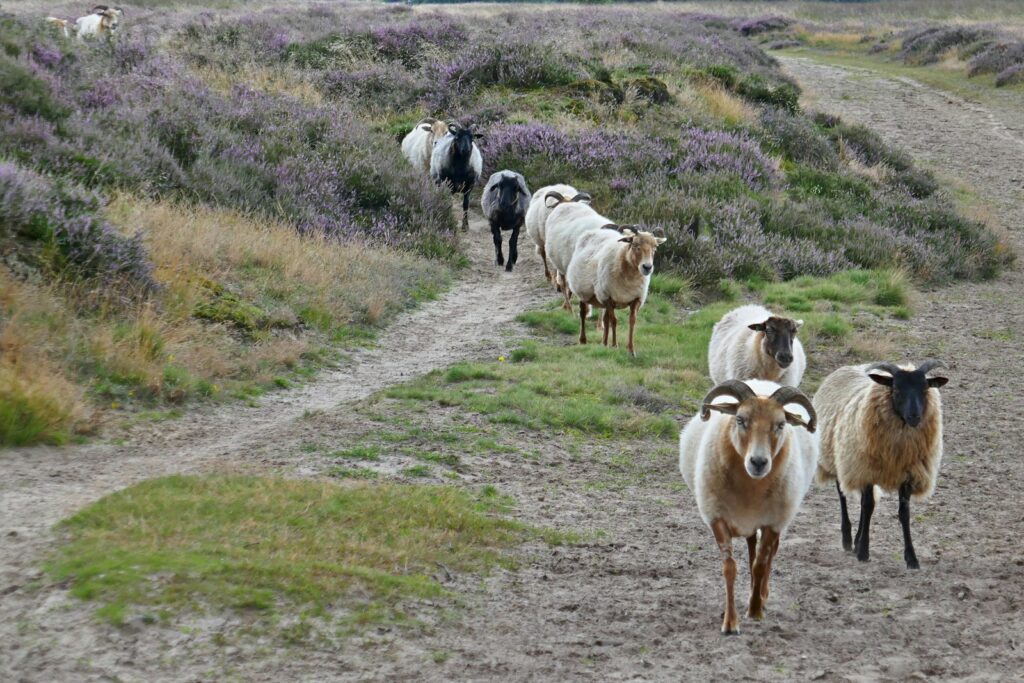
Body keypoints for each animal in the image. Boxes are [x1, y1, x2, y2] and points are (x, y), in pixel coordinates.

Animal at [565, 227, 667, 358]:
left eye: (655, 247)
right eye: (635, 245)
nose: (647, 267)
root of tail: (597, 231)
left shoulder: (636, 299)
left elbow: (631, 321)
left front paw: (631, 350)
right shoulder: (608, 297)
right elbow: (614, 321)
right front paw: (614, 345)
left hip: (603, 299)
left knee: (605, 319)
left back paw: (604, 343)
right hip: (584, 292)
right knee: (583, 314)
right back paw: (583, 340)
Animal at [684, 378, 819, 634]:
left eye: (780, 425)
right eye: (740, 419)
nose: (758, 462)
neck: (750, 486)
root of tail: (762, 382)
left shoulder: (772, 522)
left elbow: (760, 564)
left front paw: (755, 610)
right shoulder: (717, 517)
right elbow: (730, 567)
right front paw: (730, 622)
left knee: (769, 554)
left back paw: (761, 594)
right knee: (750, 549)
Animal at [811, 360, 946, 569]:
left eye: (925, 389)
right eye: (896, 389)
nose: (914, 417)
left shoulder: (908, 474)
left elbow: (903, 513)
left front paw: (911, 558)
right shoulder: (866, 469)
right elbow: (868, 506)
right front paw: (863, 552)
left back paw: (856, 540)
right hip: (842, 460)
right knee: (844, 495)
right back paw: (848, 540)